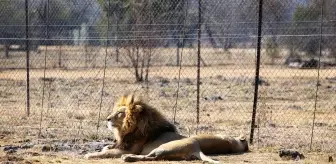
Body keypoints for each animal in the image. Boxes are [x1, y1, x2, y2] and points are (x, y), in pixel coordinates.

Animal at [84, 93, 247, 163]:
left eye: (119, 113)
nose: (107, 119)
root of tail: (196, 148)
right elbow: (106, 148)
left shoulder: (129, 148)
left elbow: (106, 153)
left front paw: (90, 154)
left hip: (164, 146)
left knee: (150, 157)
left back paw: (128, 158)